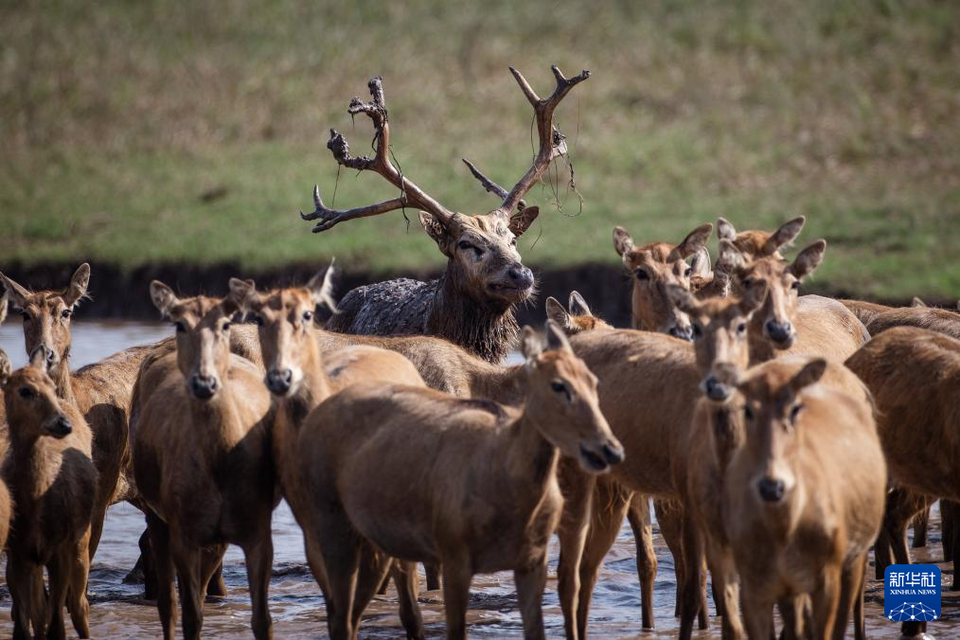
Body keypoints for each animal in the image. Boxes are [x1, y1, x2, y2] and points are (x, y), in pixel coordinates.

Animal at [2, 350, 98, 640]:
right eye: (25, 390)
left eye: (52, 388)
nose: (62, 424)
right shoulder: (18, 553)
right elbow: (25, 626)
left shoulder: (60, 548)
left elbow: (57, 625)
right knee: (40, 612)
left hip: (81, 539)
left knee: (79, 606)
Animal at [130, 284, 278, 640]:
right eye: (179, 323)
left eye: (225, 324)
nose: (204, 381)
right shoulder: (184, 529)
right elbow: (191, 616)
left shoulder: (257, 529)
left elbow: (263, 620)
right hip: (158, 513)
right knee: (168, 603)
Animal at [728, 360, 884, 640]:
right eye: (748, 410)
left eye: (794, 409)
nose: (772, 487)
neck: (783, 528)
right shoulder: (755, 586)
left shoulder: (826, 579)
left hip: (853, 560)